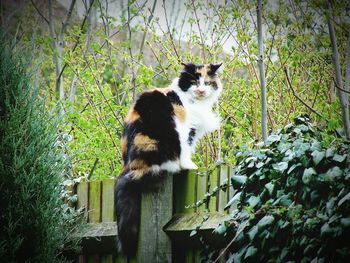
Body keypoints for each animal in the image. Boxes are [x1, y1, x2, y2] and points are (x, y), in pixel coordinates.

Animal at [115, 62, 224, 258]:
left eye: (207, 82)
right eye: (194, 81)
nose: (201, 90)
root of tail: (129, 168)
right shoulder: (187, 129)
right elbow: (186, 151)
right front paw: (190, 165)